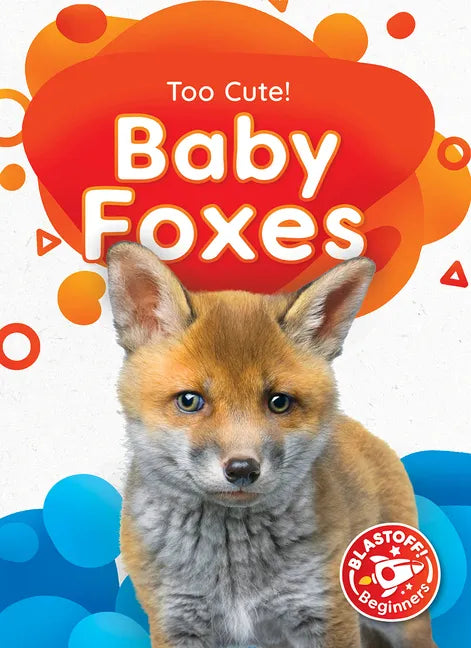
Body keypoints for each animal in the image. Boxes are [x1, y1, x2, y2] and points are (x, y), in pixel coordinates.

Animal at [107, 241, 436, 648]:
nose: (242, 469)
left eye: (279, 402)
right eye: (190, 401)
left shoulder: (325, 612)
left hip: (399, 619)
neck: (233, 569)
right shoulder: (176, 621)